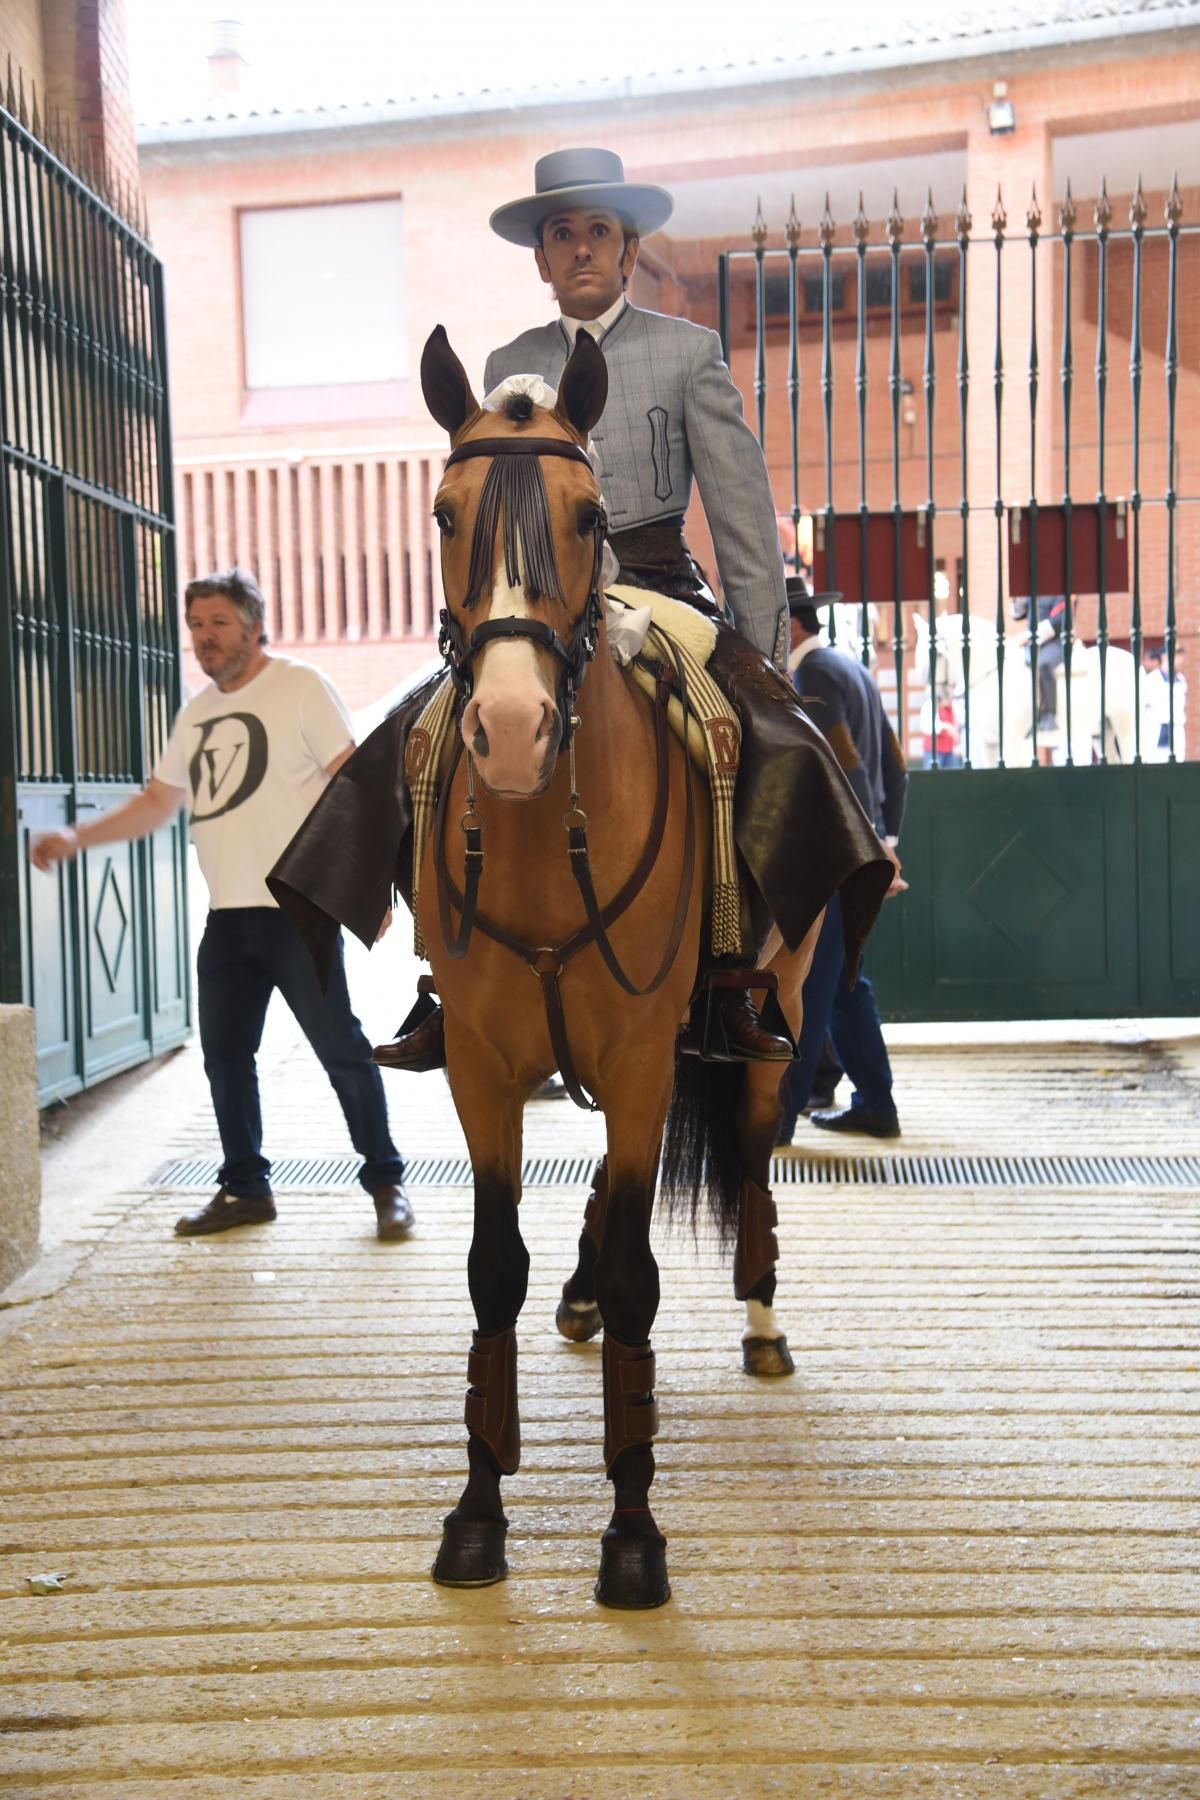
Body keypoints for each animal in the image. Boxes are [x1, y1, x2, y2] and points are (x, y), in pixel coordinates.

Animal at [921, 612, 1137, 766]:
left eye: (937, 654)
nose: (936, 697)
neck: (991, 672)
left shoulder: (1011, 742)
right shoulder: (988, 743)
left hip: (1126, 729)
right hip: (1102, 734)